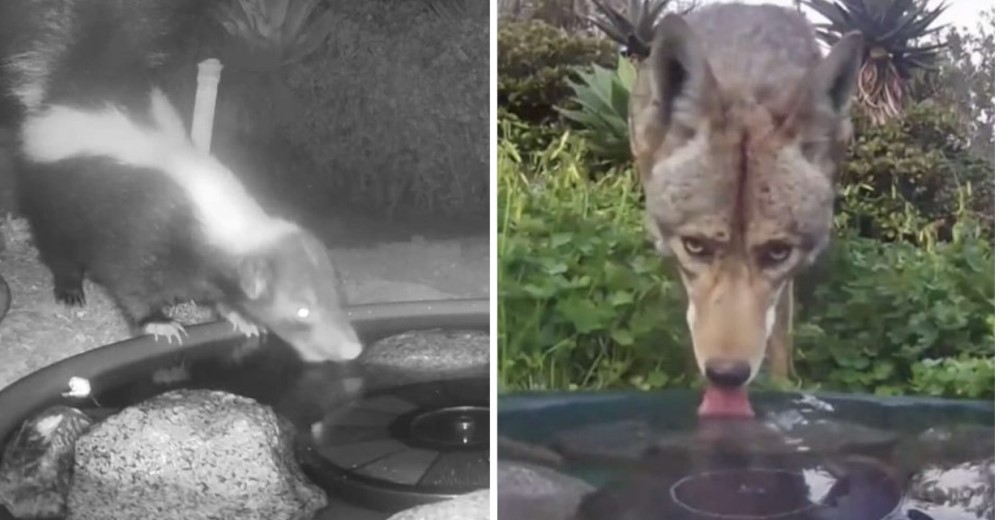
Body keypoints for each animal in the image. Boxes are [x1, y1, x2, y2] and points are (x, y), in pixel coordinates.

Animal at [3, 0, 364, 364]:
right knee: (56, 246)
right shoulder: (141, 234)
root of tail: (82, 82)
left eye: (339, 297)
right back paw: (70, 290)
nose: (351, 347)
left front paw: (242, 317)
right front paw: (159, 323)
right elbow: (131, 285)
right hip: (52, 196)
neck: (217, 216)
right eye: (302, 310)